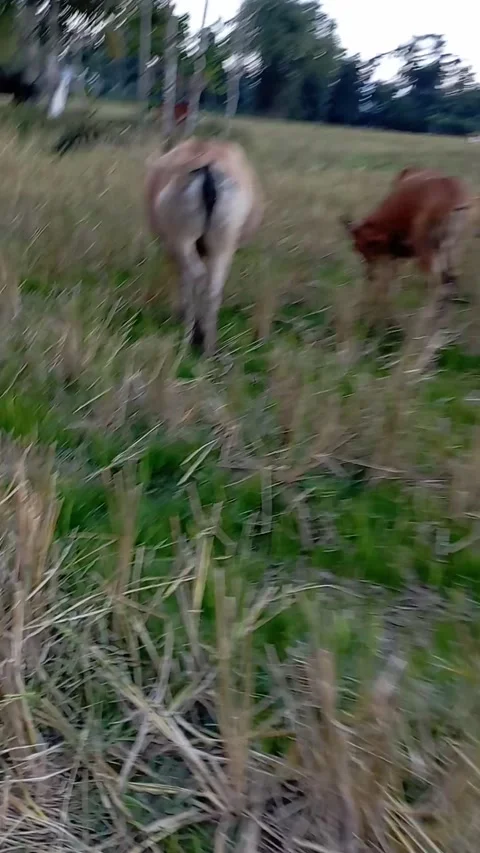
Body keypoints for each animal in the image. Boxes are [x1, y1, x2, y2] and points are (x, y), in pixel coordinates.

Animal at [145, 137, 264, 355]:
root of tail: (209, 165)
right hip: (221, 247)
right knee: (213, 286)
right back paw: (208, 346)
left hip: (184, 241)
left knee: (196, 276)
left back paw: (190, 339)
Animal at [341, 166, 473, 317]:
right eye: (356, 247)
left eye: (365, 246)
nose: (369, 276)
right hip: (454, 247)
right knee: (450, 276)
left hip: (427, 248)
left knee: (436, 279)